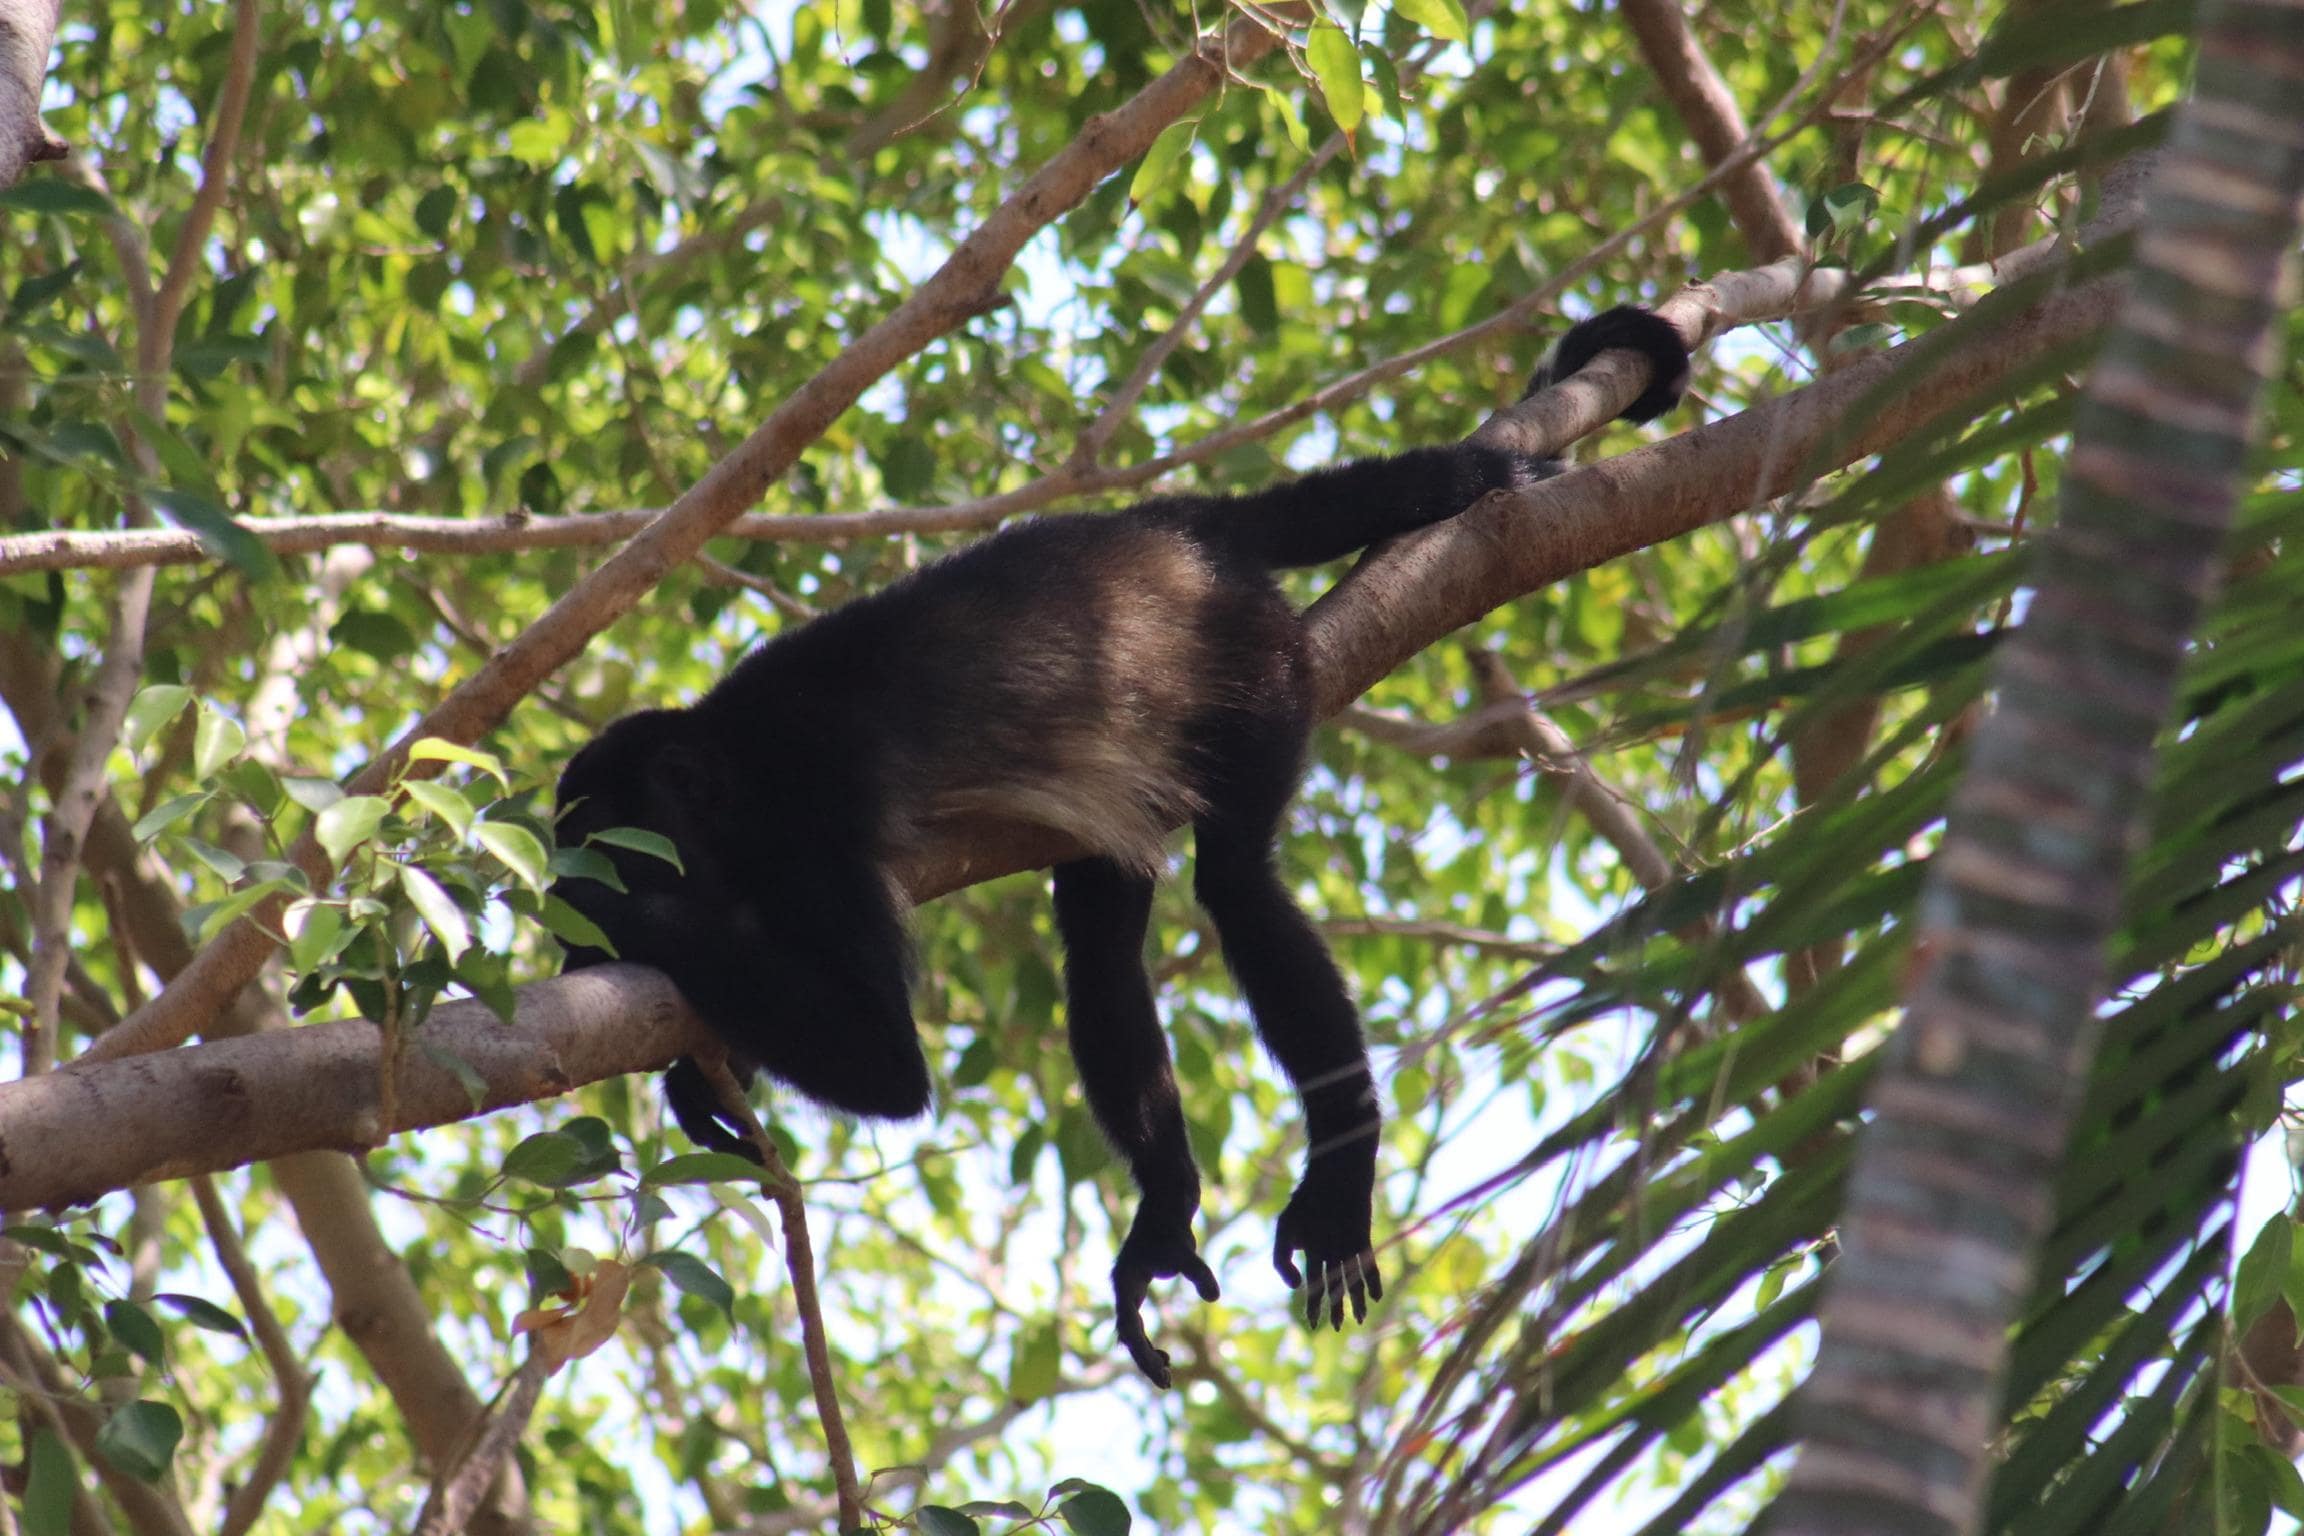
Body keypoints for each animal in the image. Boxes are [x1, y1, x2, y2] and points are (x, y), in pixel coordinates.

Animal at [551, 305, 1691, 1387]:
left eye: (609, 847)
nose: (567, 922)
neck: (729, 773)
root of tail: (1176, 527)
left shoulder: (810, 839)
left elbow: (886, 1062)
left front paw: (626, 926)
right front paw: (699, 1078)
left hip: (1255, 666)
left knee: (1237, 885)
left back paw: (1339, 1164)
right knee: (1100, 945)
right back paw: (1164, 1208)